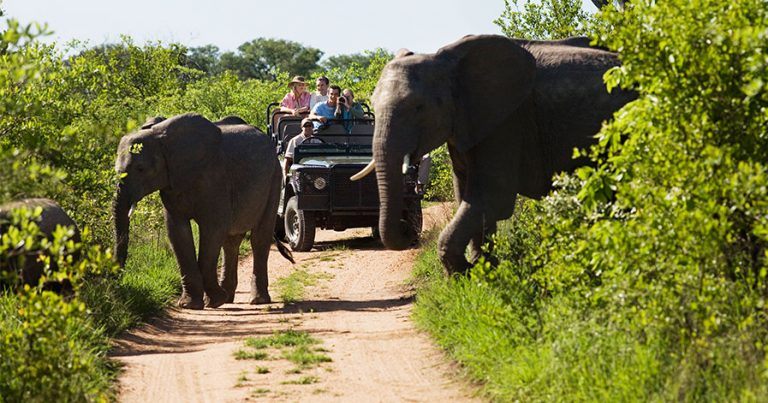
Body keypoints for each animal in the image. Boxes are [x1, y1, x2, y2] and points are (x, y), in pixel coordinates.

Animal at [113, 113, 294, 310]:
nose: (118, 281)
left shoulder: (214, 179)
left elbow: (213, 229)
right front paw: (190, 305)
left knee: (259, 238)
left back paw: (256, 300)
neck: (161, 136)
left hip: (275, 178)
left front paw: (213, 301)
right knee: (231, 242)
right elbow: (178, 232)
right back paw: (228, 298)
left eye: (140, 169)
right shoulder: (172, 184)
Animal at [367, 35, 637, 274]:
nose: (407, 229)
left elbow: (490, 197)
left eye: (418, 108)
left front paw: (466, 273)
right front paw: (484, 269)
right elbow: (465, 194)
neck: (447, 63)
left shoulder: (506, 123)